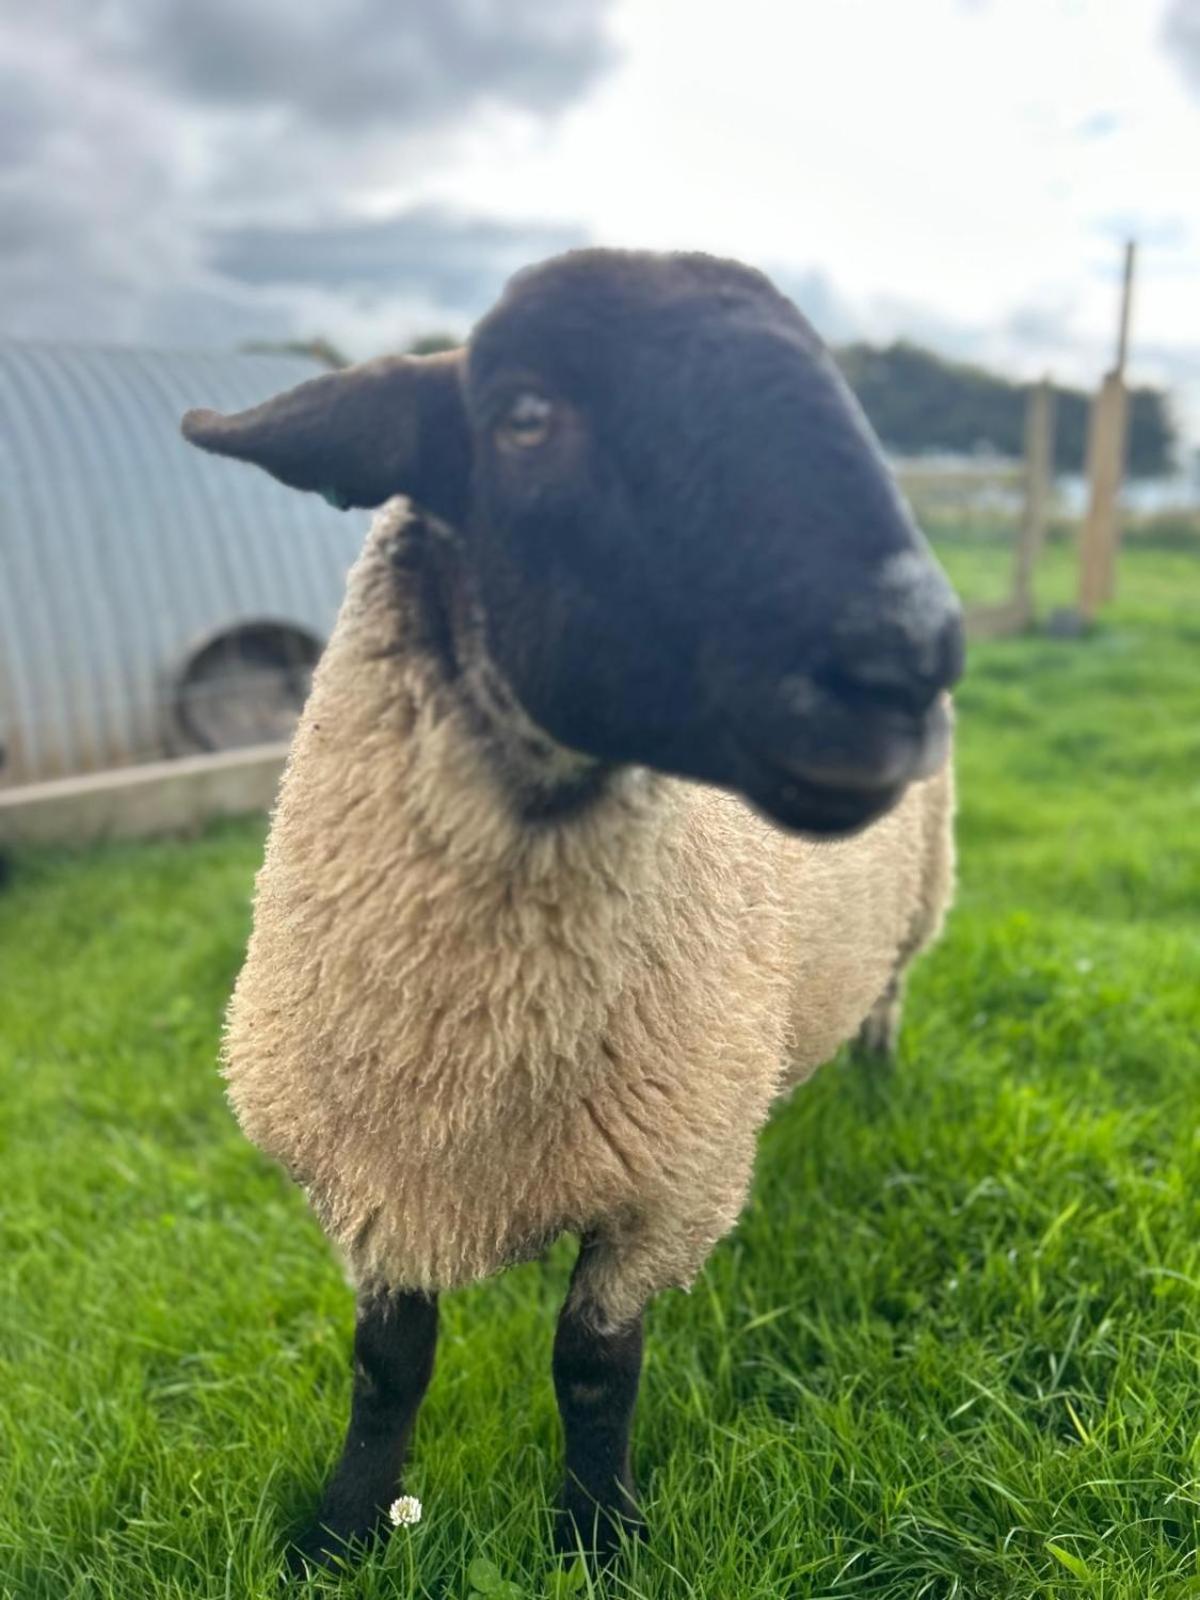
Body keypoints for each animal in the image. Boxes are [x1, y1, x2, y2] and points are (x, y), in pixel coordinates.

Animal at [180, 243, 966, 1568]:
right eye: (526, 418)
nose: (912, 658)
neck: (475, 1039)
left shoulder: (666, 1181)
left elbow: (594, 1367)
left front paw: (600, 1533)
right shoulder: (374, 1168)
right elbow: (387, 1362)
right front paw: (344, 1527)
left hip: (915, 908)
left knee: (891, 994)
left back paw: (873, 1075)